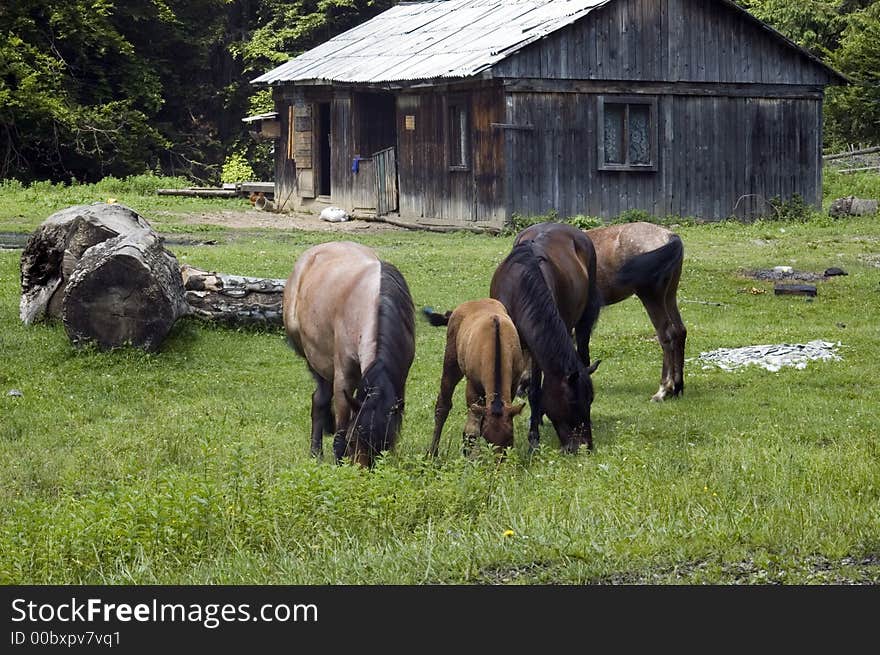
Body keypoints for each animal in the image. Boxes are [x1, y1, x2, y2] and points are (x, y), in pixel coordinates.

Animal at [284, 241, 418, 466]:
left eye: (385, 444)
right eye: (354, 439)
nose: (363, 469)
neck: (374, 300)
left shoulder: (400, 379)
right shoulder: (343, 376)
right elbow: (339, 434)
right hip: (316, 360)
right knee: (319, 400)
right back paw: (316, 452)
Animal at [424, 298, 524, 456]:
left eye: (510, 439)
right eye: (488, 440)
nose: (498, 461)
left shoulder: (513, 385)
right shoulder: (472, 387)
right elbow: (471, 430)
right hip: (451, 363)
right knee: (443, 404)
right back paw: (433, 452)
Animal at [492, 223, 600, 454]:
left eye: (591, 400)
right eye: (573, 403)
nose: (585, 447)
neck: (519, 285)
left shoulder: (536, 352)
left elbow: (536, 391)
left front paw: (533, 438)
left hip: (583, 321)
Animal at [584, 223, 688, 402]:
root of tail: (669, 236)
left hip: (652, 298)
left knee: (667, 335)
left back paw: (663, 390)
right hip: (669, 296)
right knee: (680, 331)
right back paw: (677, 387)